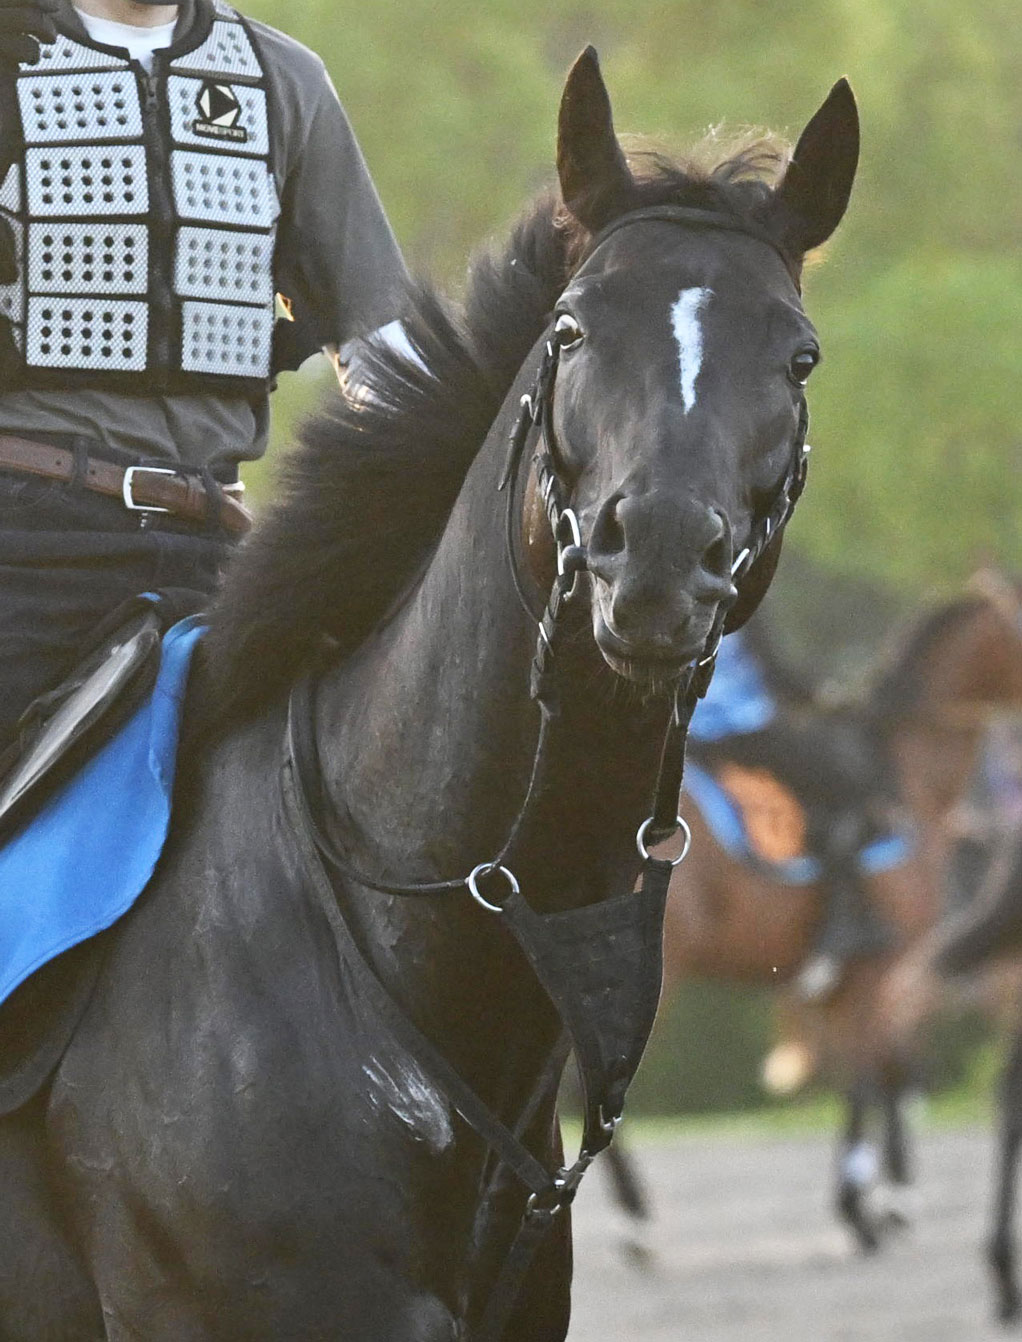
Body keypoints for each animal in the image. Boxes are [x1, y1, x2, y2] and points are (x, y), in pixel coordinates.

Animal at [600, 574, 1022, 1257]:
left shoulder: (856, 975)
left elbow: (877, 1066)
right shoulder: (887, 960)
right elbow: (877, 1069)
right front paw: (873, 1203)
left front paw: (874, 1200)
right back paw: (634, 1219)